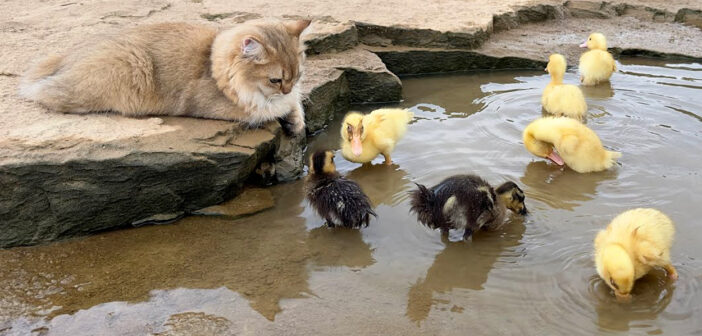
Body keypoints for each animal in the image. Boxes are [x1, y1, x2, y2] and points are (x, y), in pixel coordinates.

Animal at [20, 19, 310, 134]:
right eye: (275, 80)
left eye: (297, 76)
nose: (286, 89)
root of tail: (64, 59)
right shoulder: (223, 106)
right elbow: (270, 108)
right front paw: (286, 112)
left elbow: (295, 103)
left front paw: (296, 120)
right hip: (129, 65)